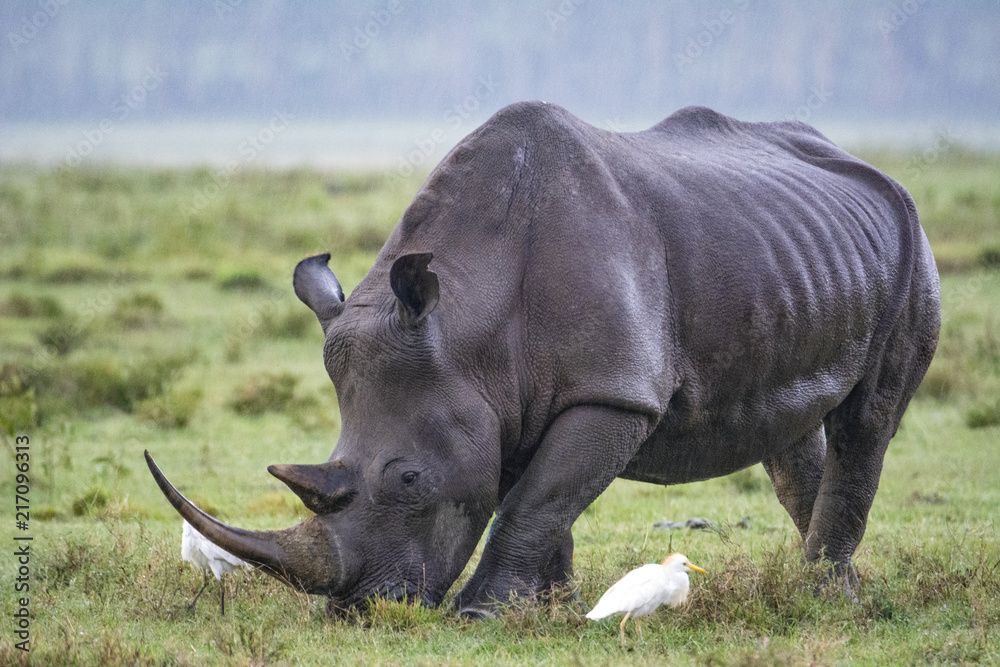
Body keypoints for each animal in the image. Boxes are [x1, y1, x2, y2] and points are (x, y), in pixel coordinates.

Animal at [146, 102, 940, 617]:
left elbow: (536, 499)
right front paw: (550, 611)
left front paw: (482, 616)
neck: (465, 322)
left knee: (867, 422)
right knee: (792, 435)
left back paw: (824, 602)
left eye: (408, 478)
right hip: (794, 255)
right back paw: (843, 595)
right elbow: (544, 500)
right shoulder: (505, 394)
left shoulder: (612, 390)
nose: (361, 611)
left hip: (911, 245)